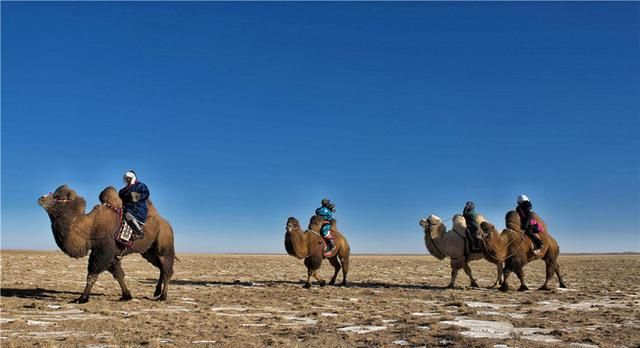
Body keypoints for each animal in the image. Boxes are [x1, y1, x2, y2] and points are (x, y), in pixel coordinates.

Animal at [38, 185, 176, 302]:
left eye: (58, 197)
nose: (41, 198)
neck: (89, 226)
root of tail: (167, 224)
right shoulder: (113, 255)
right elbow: (119, 275)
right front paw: (126, 296)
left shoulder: (103, 250)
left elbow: (92, 274)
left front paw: (82, 298)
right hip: (149, 252)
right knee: (161, 268)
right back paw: (156, 292)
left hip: (164, 246)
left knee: (167, 270)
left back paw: (162, 297)